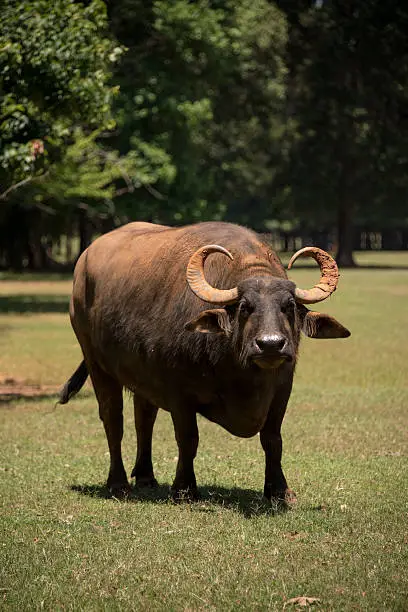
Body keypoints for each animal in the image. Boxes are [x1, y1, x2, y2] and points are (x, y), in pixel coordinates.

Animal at [59, 222, 350, 504]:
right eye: (244, 307)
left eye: (288, 306)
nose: (270, 344)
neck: (242, 375)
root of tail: (84, 262)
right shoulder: (178, 394)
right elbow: (188, 439)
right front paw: (184, 489)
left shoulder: (281, 390)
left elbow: (272, 439)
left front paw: (279, 491)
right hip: (97, 363)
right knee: (113, 420)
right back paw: (118, 484)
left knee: (144, 418)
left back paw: (145, 477)